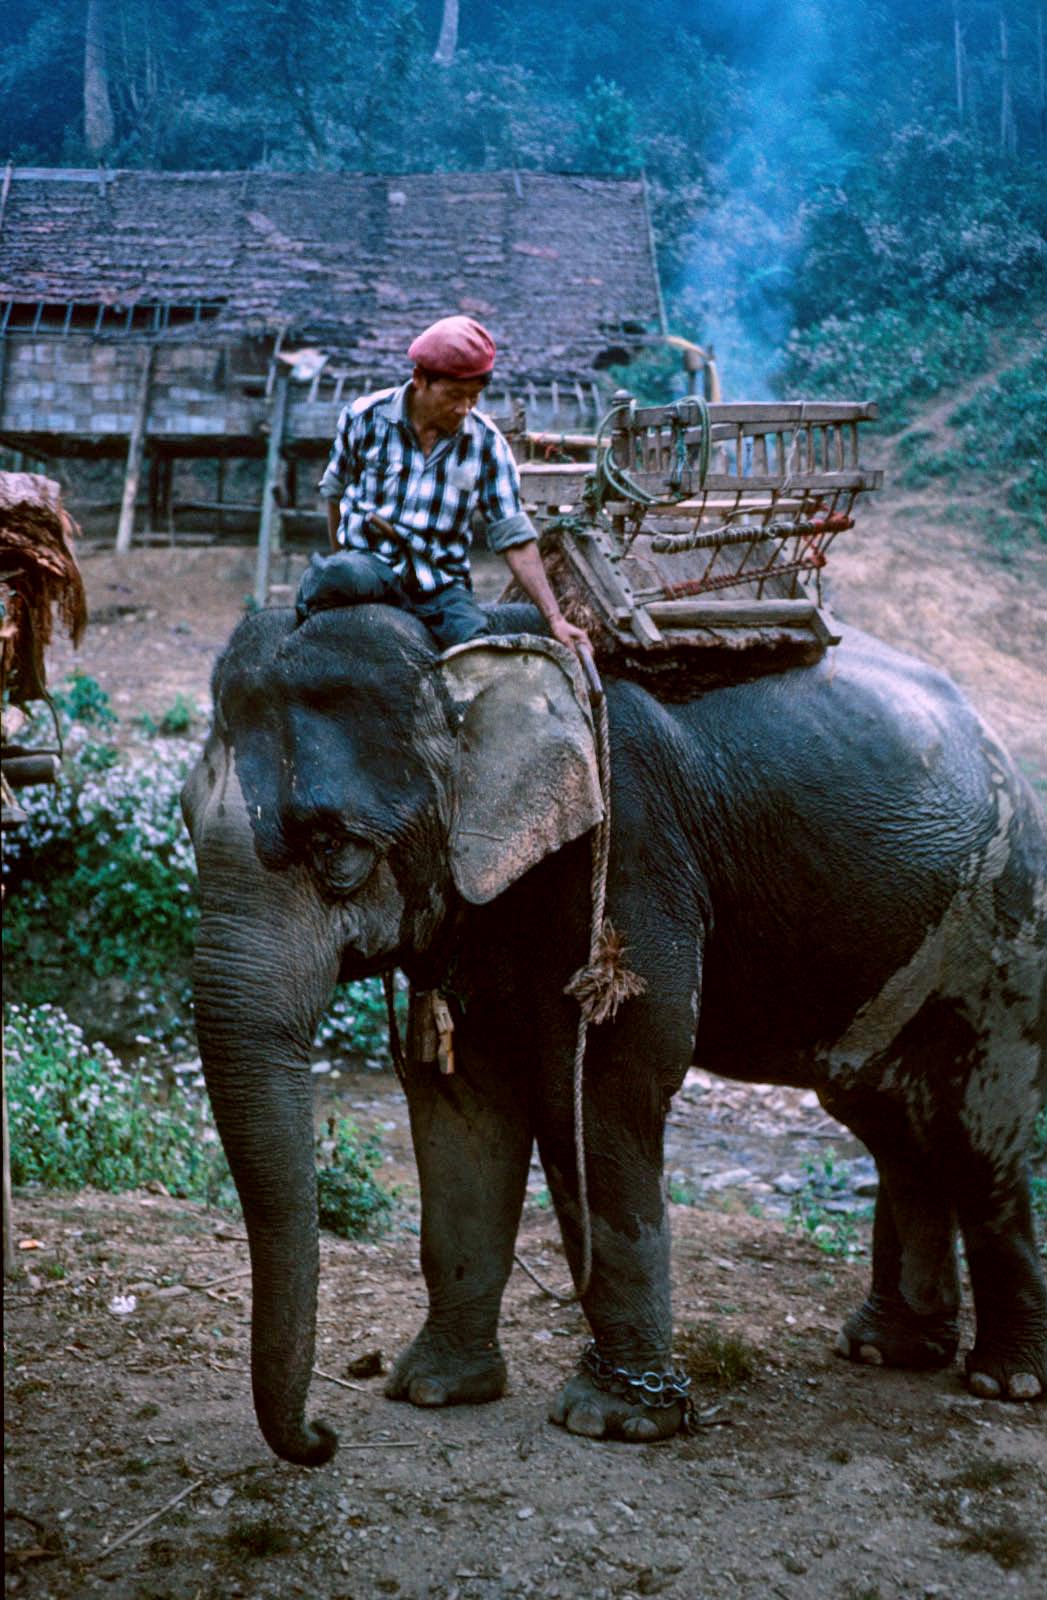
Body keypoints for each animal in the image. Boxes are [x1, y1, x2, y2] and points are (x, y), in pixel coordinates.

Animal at [182, 598, 1047, 1465]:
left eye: (335, 846)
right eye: (185, 826)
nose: (324, 1435)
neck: (464, 657)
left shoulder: (628, 850)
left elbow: (604, 1089)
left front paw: (613, 1420)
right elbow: (460, 1104)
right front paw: (434, 1391)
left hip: (1003, 931)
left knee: (973, 1133)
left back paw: (1002, 1380)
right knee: (890, 1122)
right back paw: (886, 1348)